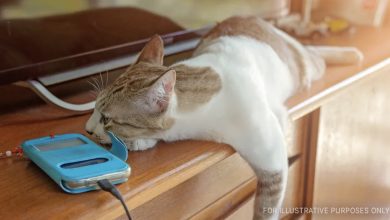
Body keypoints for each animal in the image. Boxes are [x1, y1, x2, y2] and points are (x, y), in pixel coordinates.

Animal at [85, 15, 362, 220]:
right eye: (95, 109)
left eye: (107, 119)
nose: (87, 129)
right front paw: (139, 142)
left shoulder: (272, 159)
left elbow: (266, 208)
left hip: (305, 69)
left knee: (314, 54)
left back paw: (351, 54)